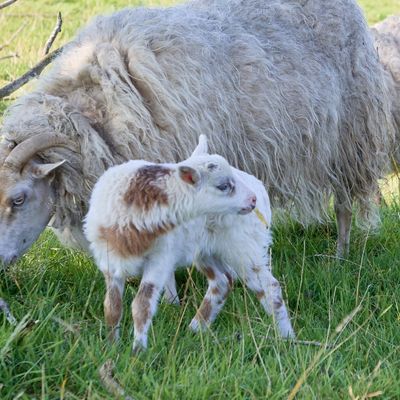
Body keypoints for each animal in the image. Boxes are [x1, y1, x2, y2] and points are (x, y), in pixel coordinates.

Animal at [84, 136, 296, 352]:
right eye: (223, 186)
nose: (251, 199)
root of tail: (260, 189)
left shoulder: (160, 259)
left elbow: (142, 306)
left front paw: (138, 351)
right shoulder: (109, 262)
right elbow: (112, 307)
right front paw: (111, 347)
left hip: (243, 246)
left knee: (269, 287)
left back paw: (287, 339)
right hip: (205, 250)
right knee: (222, 282)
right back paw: (195, 329)